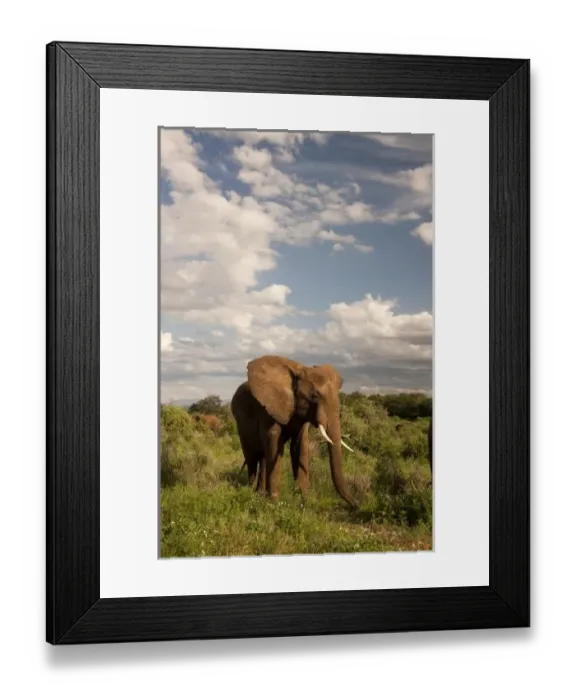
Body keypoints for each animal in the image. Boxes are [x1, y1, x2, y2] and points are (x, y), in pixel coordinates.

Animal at [231, 355, 358, 508]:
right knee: (251, 457)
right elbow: (274, 444)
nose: (357, 505)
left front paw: (305, 501)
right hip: (240, 423)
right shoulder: (268, 410)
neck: (299, 370)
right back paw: (250, 492)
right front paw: (274, 503)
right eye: (314, 396)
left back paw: (259, 494)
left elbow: (300, 446)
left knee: (262, 457)